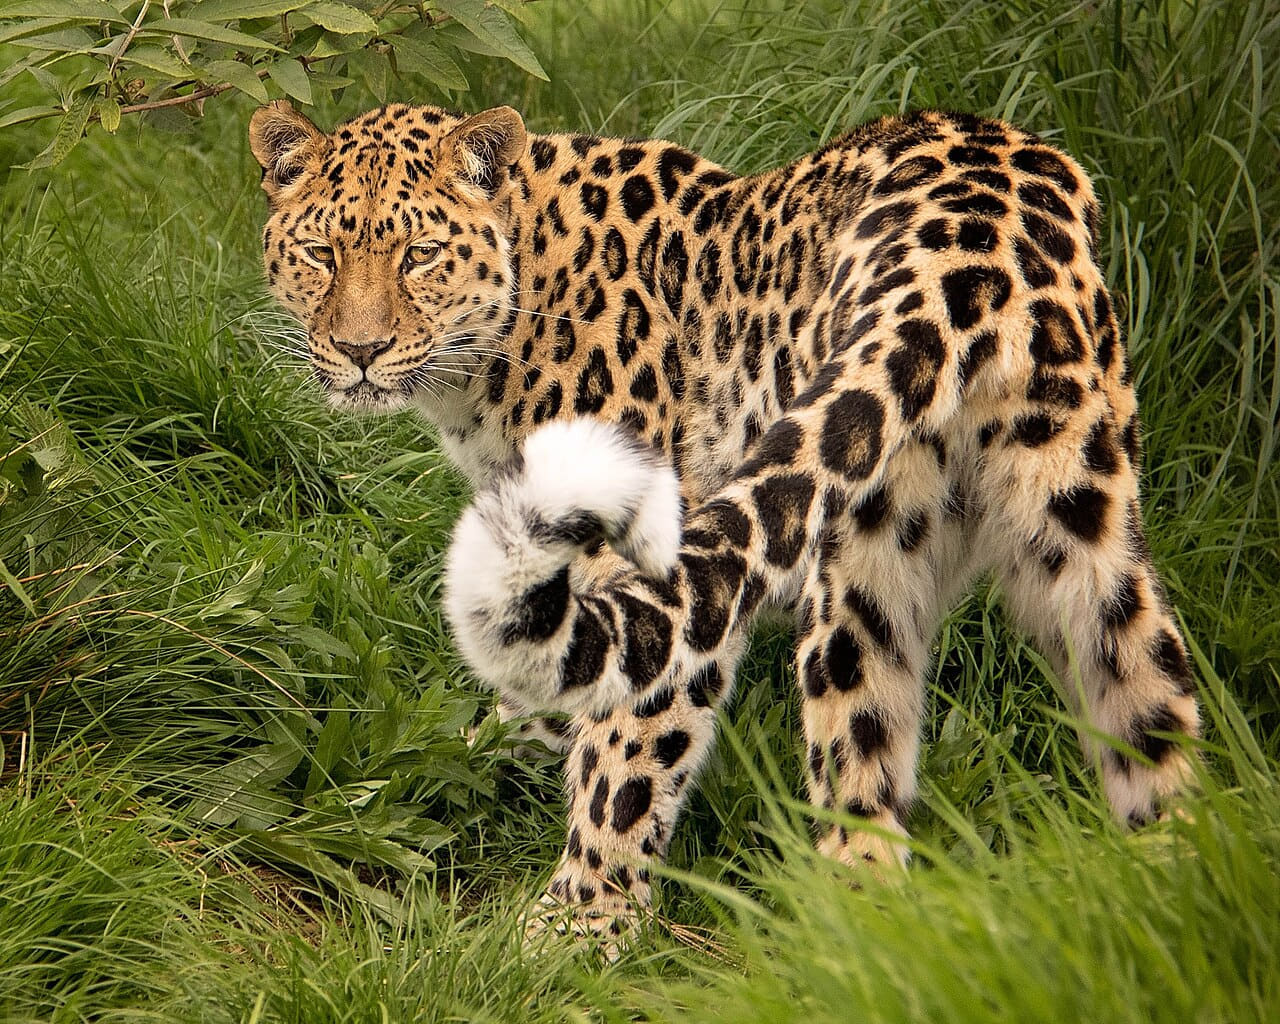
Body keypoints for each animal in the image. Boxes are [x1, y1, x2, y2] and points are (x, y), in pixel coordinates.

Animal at [249, 99, 1200, 955]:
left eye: (420, 256)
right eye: (321, 253)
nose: (361, 350)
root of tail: (979, 230)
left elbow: (622, 747)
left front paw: (577, 932)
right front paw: (445, 762)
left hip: (848, 558)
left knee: (849, 797)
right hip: (1080, 528)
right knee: (1143, 706)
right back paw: (1170, 888)